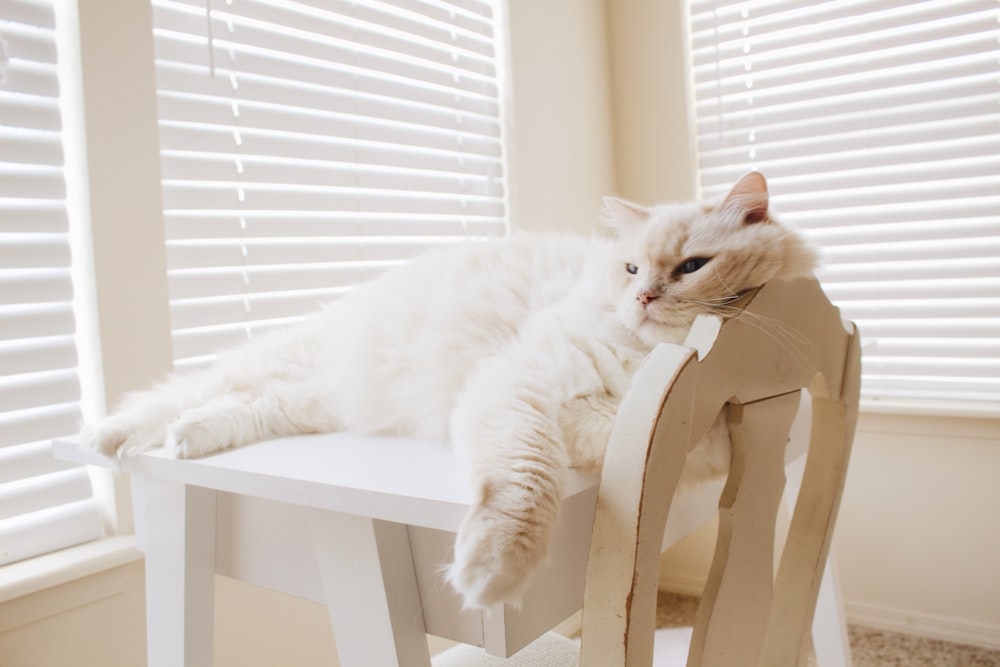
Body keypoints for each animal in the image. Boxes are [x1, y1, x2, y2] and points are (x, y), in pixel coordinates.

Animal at [82, 171, 816, 612]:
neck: (650, 363)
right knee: (180, 394)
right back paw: (113, 439)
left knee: (237, 408)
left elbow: (561, 455)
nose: (641, 299)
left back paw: (186, 441)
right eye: (632, 268)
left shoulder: (640, 432)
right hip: (286, 363)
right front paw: (495, 572)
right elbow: (523, 484)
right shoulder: (520, 386)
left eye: (691, 266)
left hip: (311, 399)